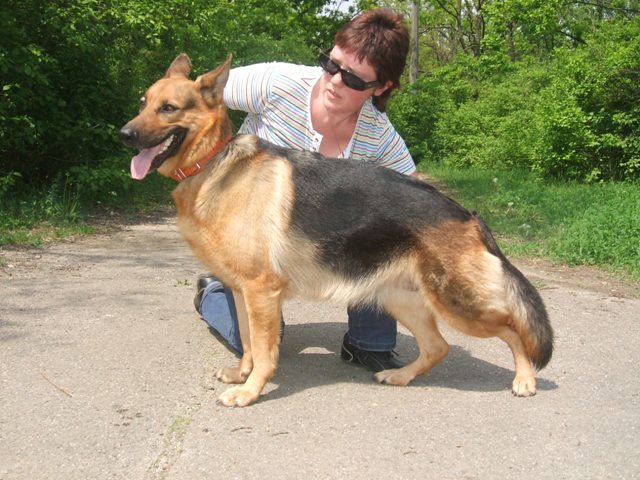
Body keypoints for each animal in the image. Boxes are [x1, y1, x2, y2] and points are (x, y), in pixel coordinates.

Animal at [120, 54, 553, 407]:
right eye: (142, 103)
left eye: (169, 108)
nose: (124, 135)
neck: (212, 161)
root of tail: (469, 215)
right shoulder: (243, 293)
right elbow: (246, 342)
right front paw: (242, 374)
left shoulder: (262, 291)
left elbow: (264, 350)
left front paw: (250, 391)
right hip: (401, 299)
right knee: (438, 348)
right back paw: (400, 376)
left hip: (458, 305)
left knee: (513, 329)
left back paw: (525, 379)